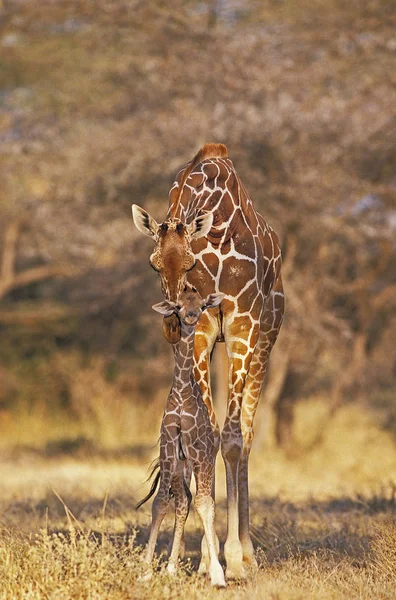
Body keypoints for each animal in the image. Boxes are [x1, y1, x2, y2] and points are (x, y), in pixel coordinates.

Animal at [138, 286, 226, 584]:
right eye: (177, 305)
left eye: (200, 304)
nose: (190, 316)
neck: (181, 394)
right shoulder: (168, 450)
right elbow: (160, 503)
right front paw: (146, 570)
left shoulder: (198, 453)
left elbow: (204, 503)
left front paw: (217, 574)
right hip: (180, 466)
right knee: (182, 502)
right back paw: (172, 567)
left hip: (203, 461)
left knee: (202, 502)